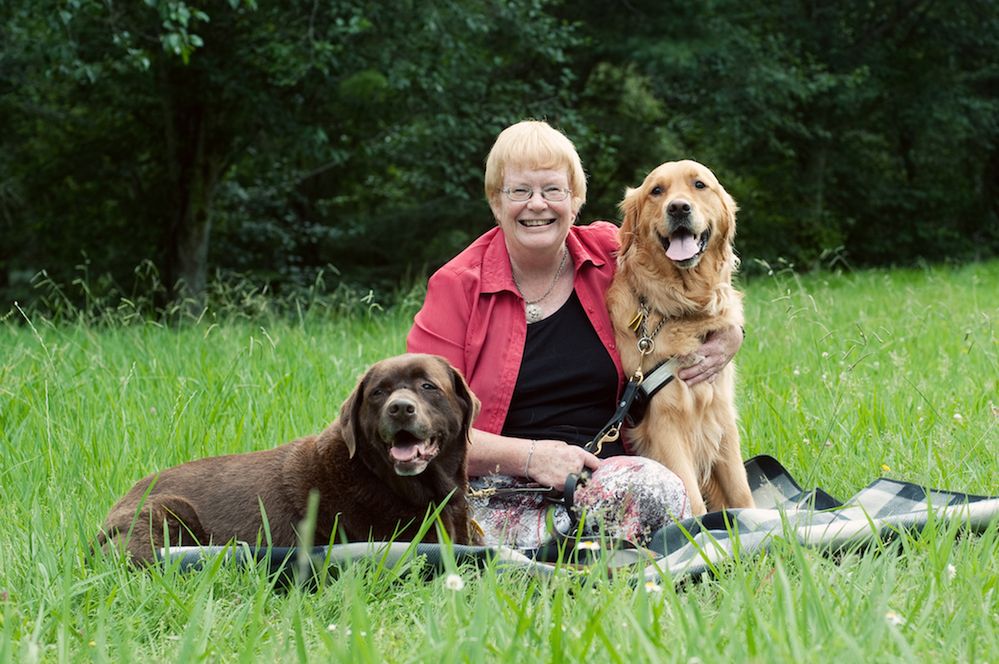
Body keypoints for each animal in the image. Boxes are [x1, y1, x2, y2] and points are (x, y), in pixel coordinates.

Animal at [604, 160, 752, 512]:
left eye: (699, 185)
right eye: (657, 190)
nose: (679, 208)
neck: (682, 308)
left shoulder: (721, 416)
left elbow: (741, 491)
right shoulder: (665, 422)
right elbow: (692, 500)